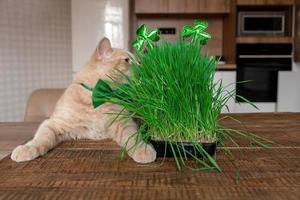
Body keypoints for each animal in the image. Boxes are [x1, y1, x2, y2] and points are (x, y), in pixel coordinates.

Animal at [11, 37, 157, 164]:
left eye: (138, 61)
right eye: (127, 60)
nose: (142, 67)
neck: (96, 98)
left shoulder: (124, 123)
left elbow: (134, 138)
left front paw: (142, 149)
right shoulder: (54, 123)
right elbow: (40, 139)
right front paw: (27, 148)